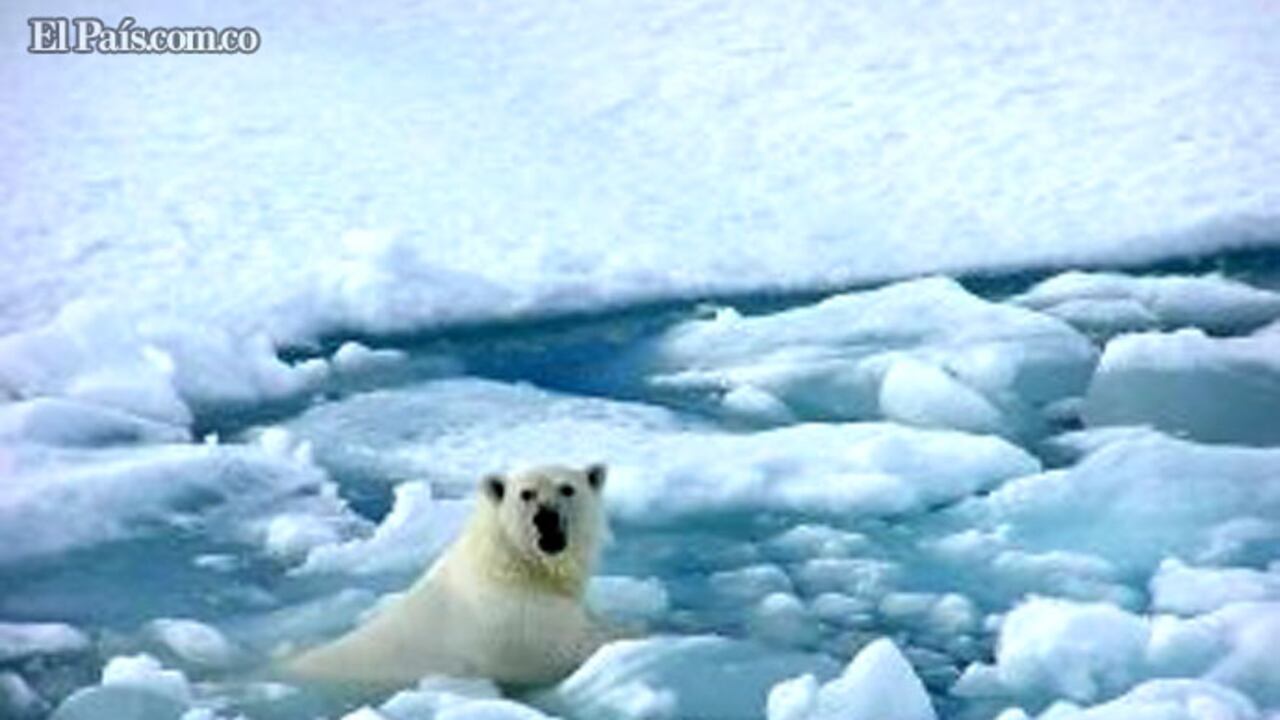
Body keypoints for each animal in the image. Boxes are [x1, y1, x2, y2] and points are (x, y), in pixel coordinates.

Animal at [285, 463, 613, 688]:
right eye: (526, 494)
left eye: (567, 488)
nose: (546, 517)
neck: (516, 564)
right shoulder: (515, 622)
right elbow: (562, 652)